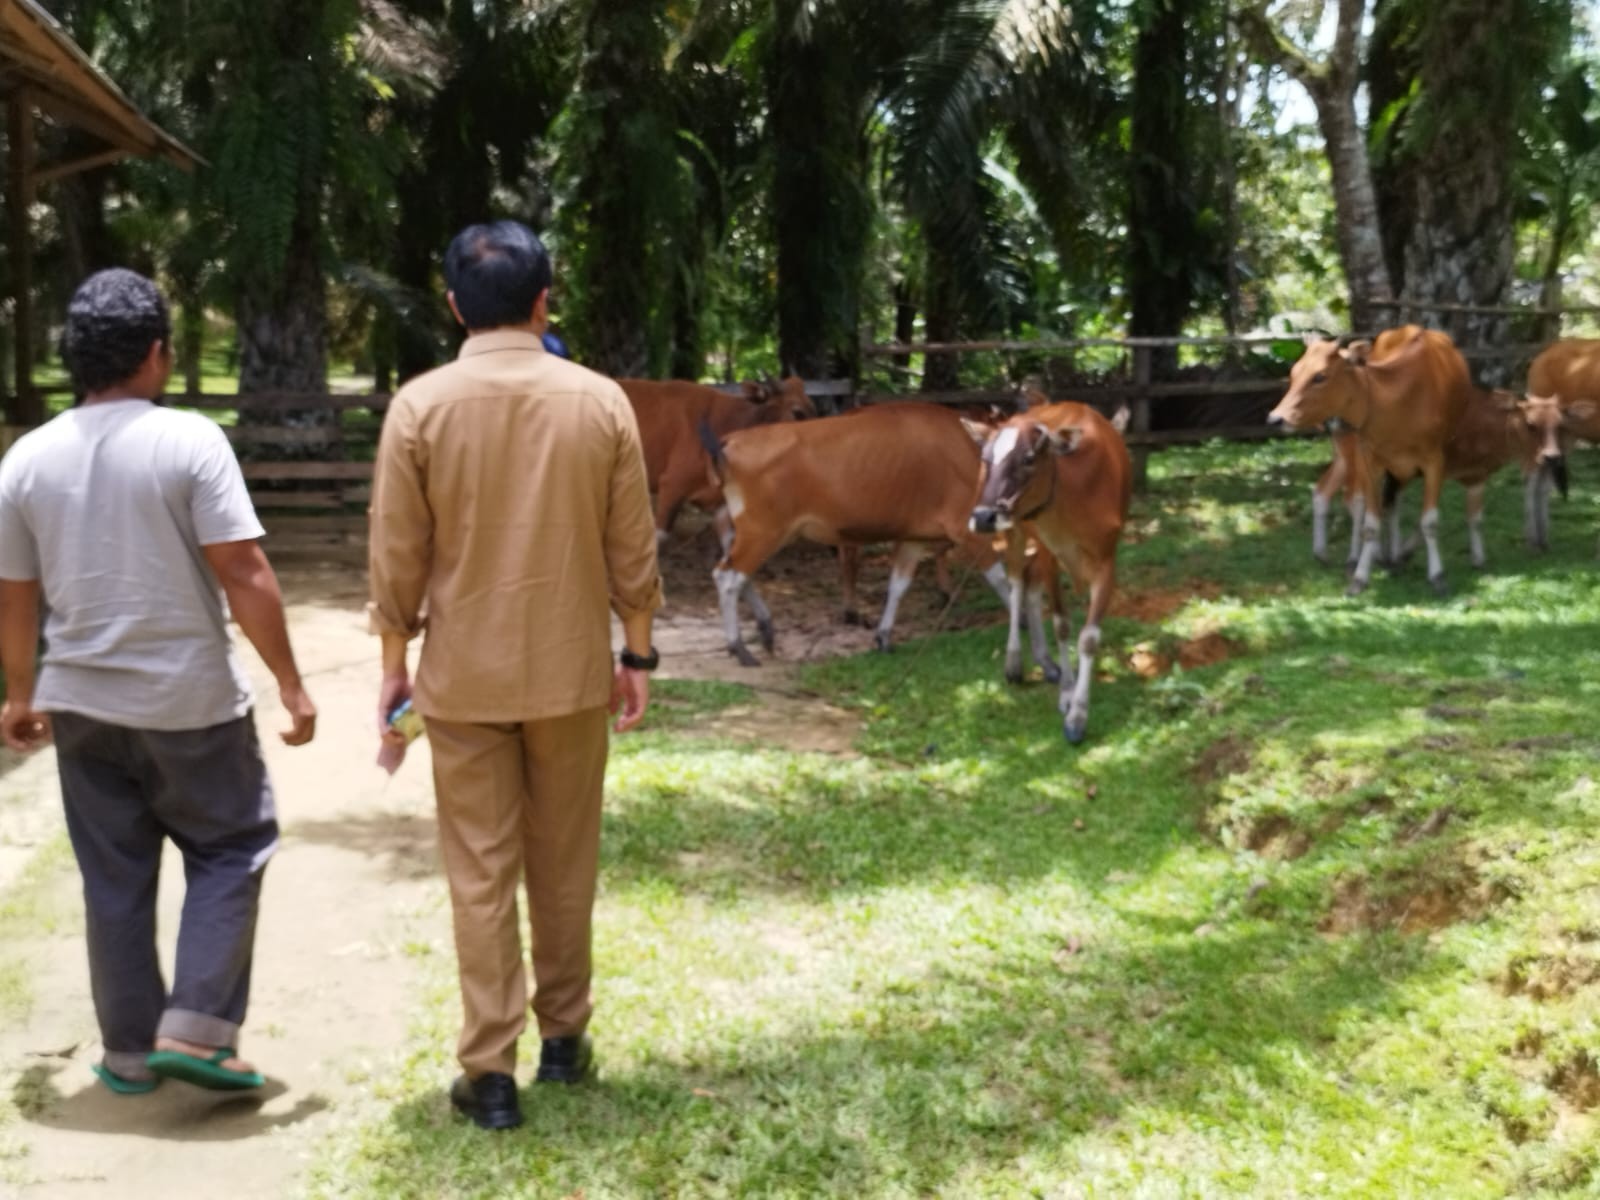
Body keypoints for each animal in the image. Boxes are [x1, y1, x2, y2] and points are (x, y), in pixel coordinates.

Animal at [704, 404, 1004, 668]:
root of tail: (730, 441)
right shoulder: (966, 528)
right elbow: (1002, 578)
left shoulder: (913, 539)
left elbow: (898, 586)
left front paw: (884, 638)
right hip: (764, 530)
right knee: (727, 577)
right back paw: (740, 648)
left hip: (750, 529)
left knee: (738, 574)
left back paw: (765, 631)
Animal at [953, 404, 1132, 742]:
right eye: (986, 458)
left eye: (1028, 458)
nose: (982, 517)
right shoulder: (1051, 553)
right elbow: (1061, 624)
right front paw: (1068, 695)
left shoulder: (1107, 559)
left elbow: (1089, 638)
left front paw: (1078, 716)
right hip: (1014, 531)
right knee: (1016, 581)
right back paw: (1014, 663)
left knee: (1029, 582)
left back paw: (1046, 663)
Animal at [1267, 329, 1465, 598]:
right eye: (1294, 372)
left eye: (1320, 375)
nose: (1275, 419)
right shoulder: (1371, 460)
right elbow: (1371, 522)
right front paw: (1360, 578)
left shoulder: (1435, 460)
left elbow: (1429, 521)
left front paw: (1437, 577)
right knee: (1362, 500)